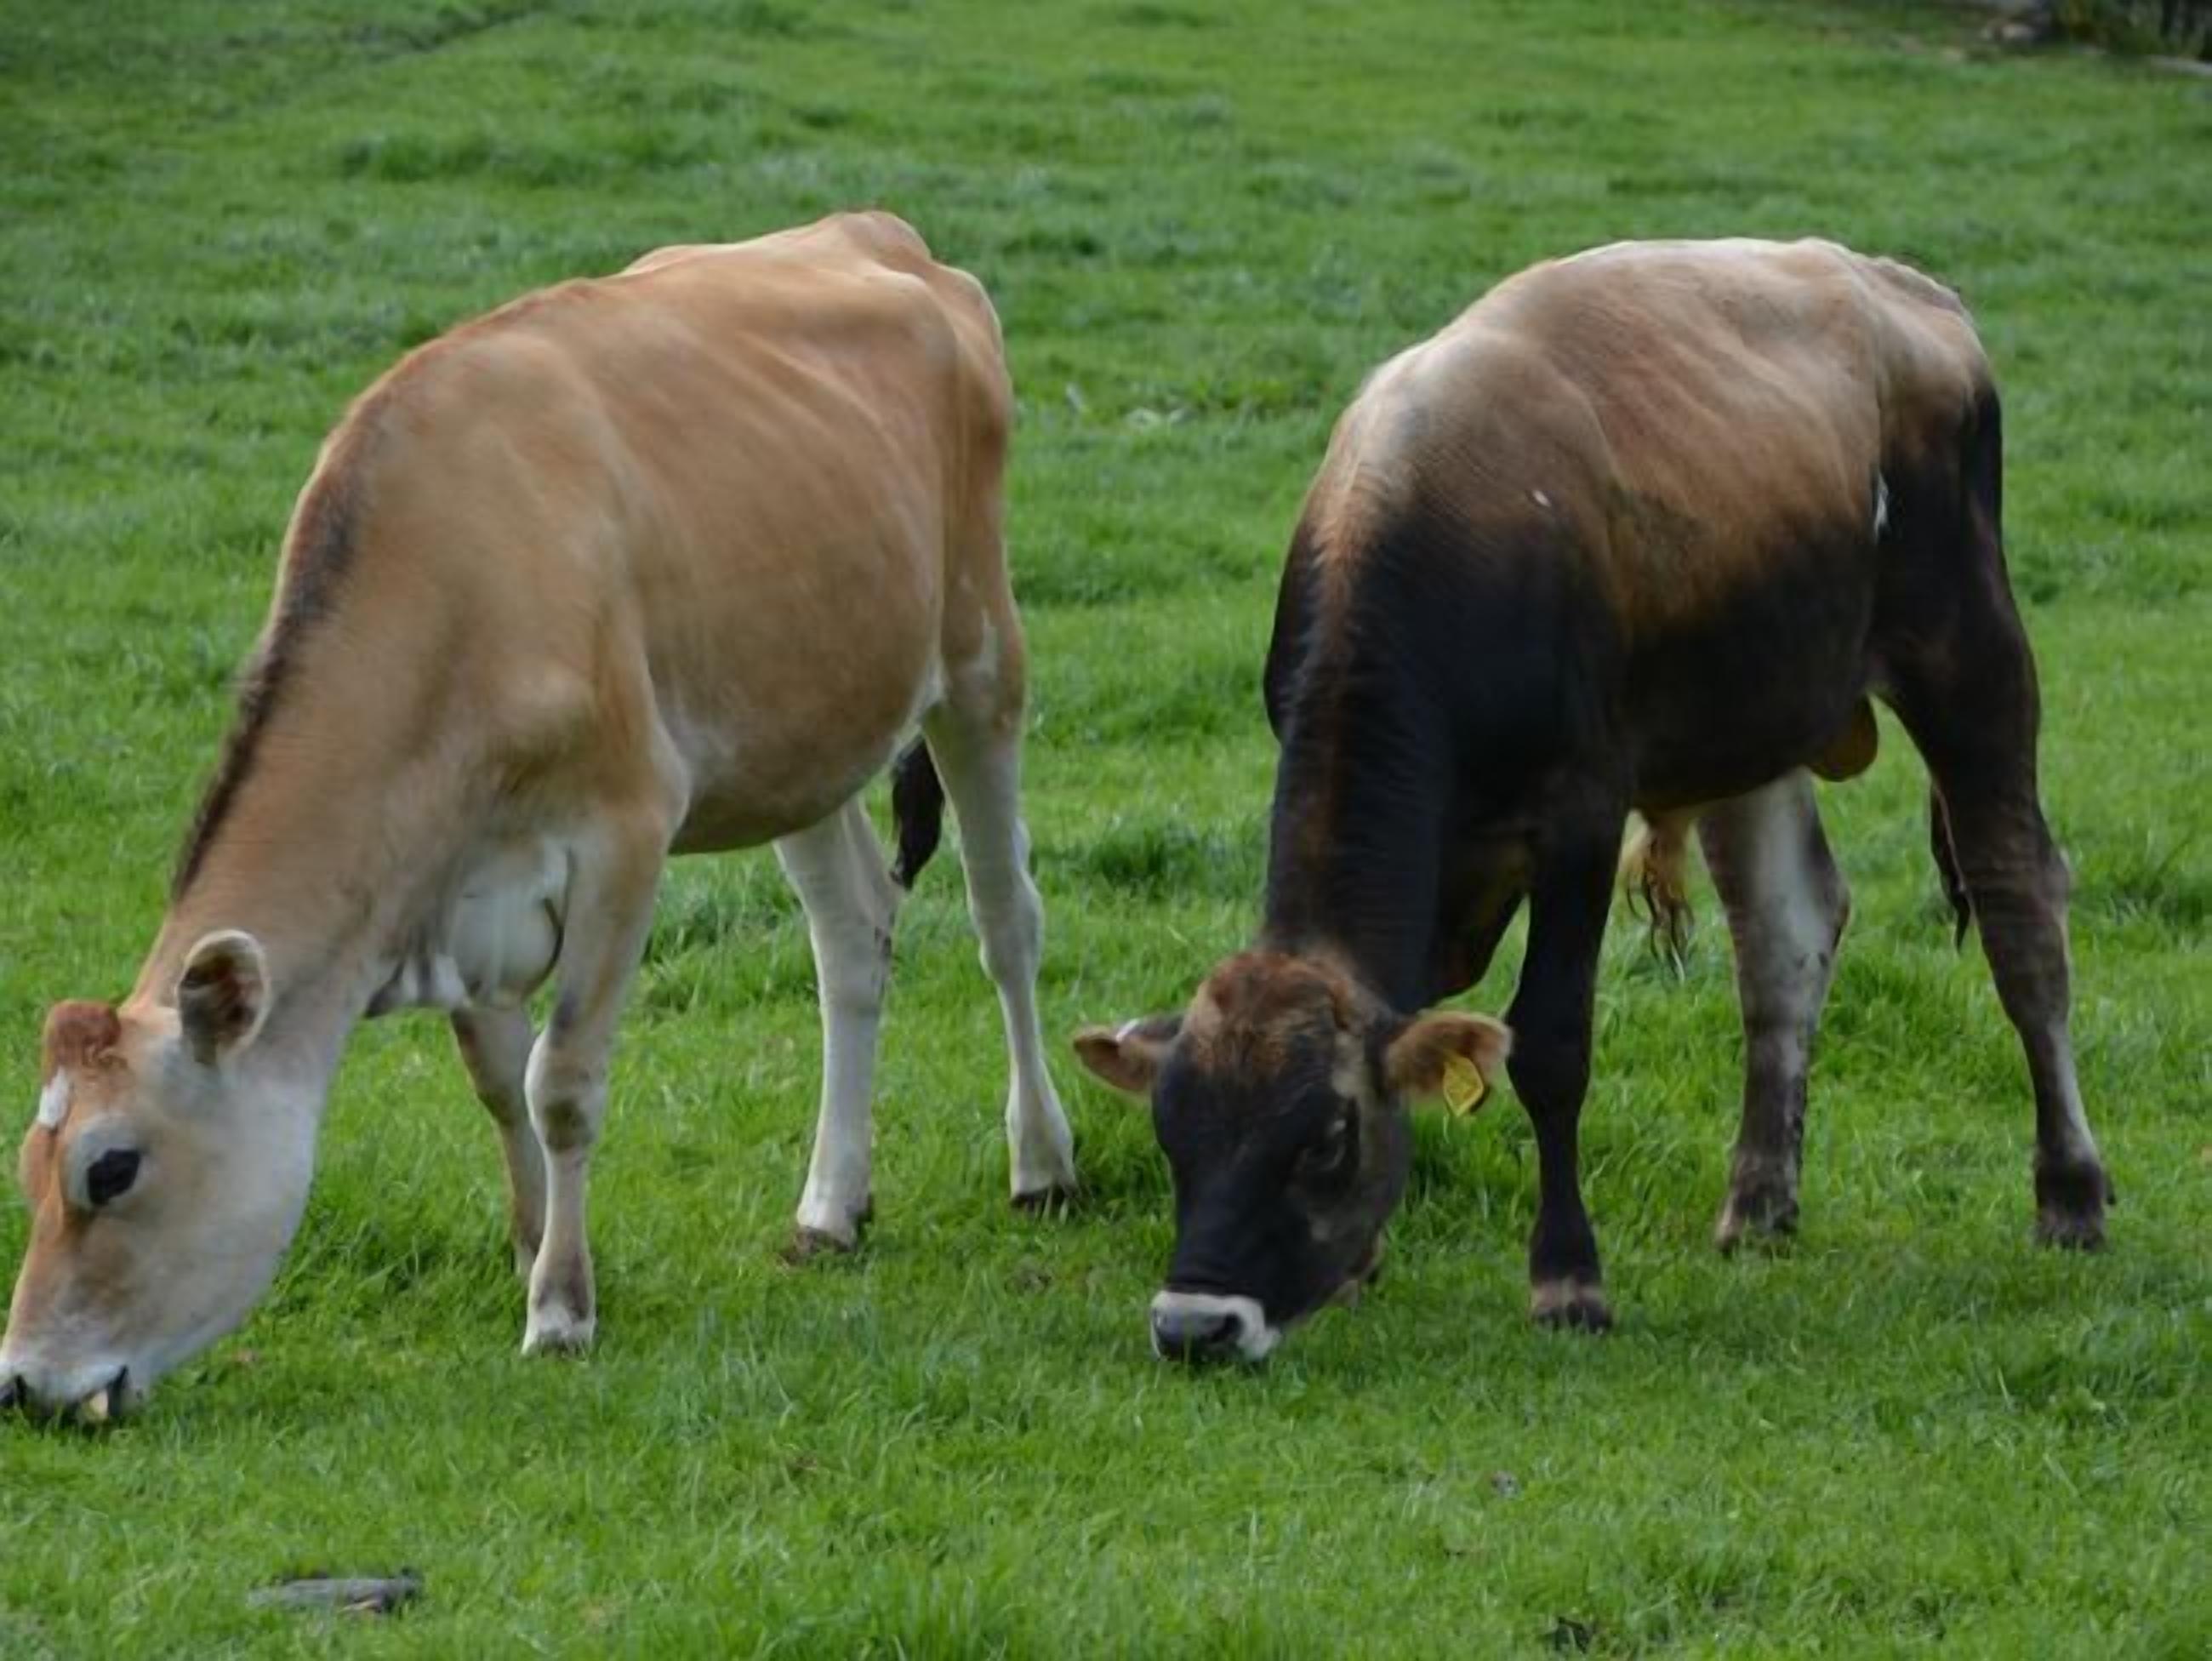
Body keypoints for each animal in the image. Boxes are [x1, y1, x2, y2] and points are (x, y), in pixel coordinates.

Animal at [1, 211, 1077, 1420]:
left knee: (1004, 917)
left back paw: (1041, 1160)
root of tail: (875, 232)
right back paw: (830, 1205)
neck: (456, 587)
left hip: (980, 654)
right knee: (853, 933)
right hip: (801, 726)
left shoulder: (625, 833)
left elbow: (559, 1081)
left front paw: (560, 1309)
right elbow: (496, 1084)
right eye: (28, 1168)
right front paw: (533, 1252)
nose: (22, 1381)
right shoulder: (452, 884)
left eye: (112, 1166)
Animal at [1074, 238, 2112, 1365]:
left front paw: (1567, 1279)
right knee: (1784, 937)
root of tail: (1900, 285)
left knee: (2018, 910)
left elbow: (1549, 1042)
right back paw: (1758, 1201)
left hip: (1968, 652)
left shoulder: (1578, 811)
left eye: (1324, 1140)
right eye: (1171, 1132)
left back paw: (2069, 1193)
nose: (1195, 1324)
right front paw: (1363, 1260)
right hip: (1747, 719)